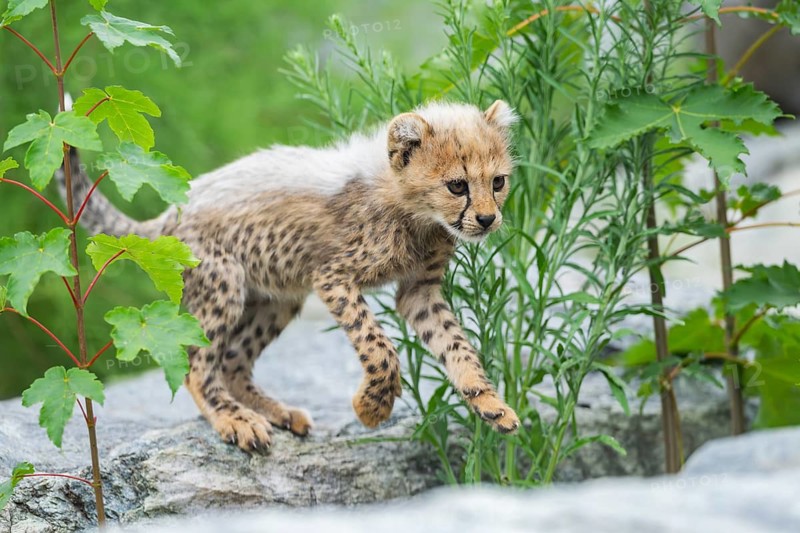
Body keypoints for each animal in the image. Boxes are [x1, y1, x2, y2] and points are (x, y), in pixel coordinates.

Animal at [60, 99, 522, 452]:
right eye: (457, 185)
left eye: (498, 182)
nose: (487, 219)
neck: (415, 213)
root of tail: (175, 210)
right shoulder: (332, 277)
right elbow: (380, 348)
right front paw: (372, 408)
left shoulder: (418, 291)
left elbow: (455, 344)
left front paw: (489, 402)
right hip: (225, 284)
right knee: (198, 366)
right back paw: (235, 419)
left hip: (277, 297)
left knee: (233, 361)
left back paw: (277, 413)